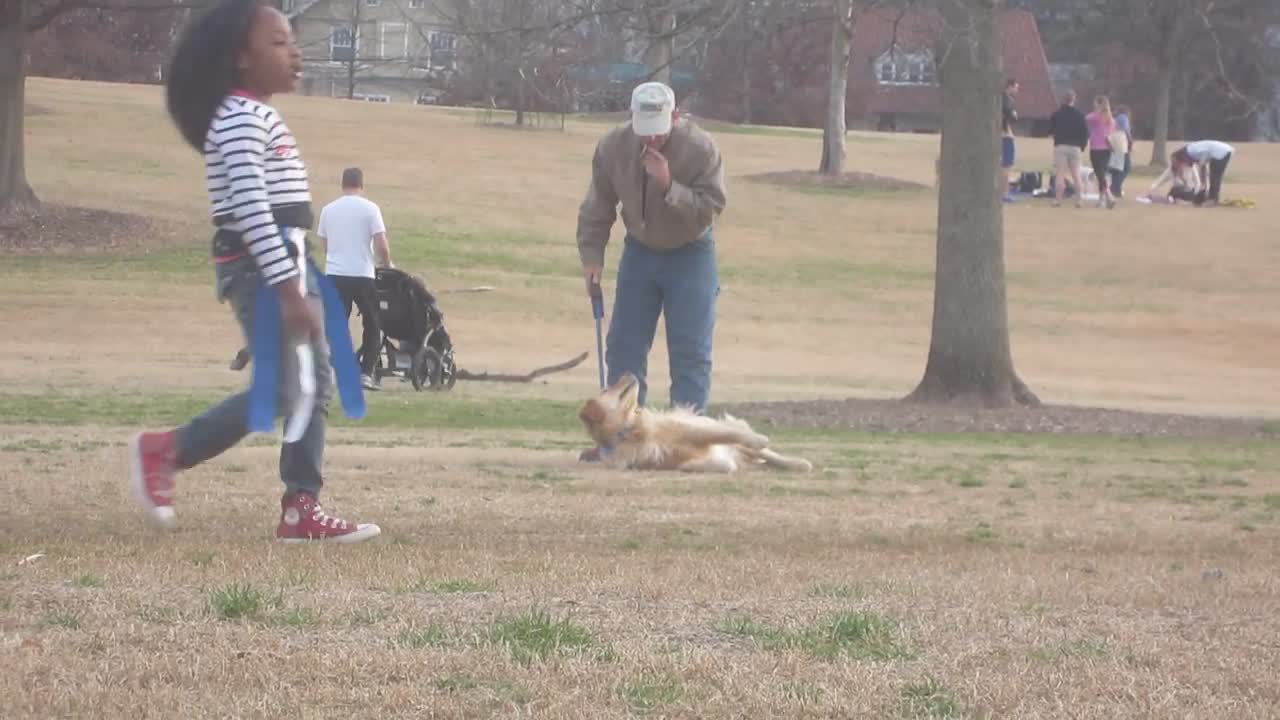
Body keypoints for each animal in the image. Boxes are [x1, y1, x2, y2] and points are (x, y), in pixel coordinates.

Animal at [578, 371, 814, 474]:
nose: (628, 372)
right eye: (605, 390)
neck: (630, 432)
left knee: (765, 452)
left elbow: (726, 434)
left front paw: (757, 439)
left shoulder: (691, 430)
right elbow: (718, 464)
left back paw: (796, 462)